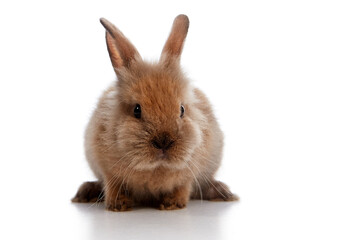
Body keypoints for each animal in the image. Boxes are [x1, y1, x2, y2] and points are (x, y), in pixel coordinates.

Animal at [71, 14, 238, 211]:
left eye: (182, 110)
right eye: (137, 110)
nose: (163, 142)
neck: (155, 168)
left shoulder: (190, 173)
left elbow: (183, 186)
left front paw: (172, 204)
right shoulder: (107, 170)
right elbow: (113, 185)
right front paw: (118, 205)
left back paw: (222, 192)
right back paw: (86, 192)